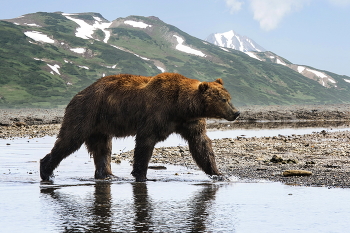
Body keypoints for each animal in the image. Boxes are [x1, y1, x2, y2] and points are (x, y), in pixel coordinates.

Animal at [39, 73, 239, 182]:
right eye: (223, 99)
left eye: (229, 98)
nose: (236, 112)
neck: (181, 107)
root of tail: (77, 95)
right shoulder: (156, 112)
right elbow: (145, 142)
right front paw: (142, 174)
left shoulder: (190, 122)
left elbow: (201, 144)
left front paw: (218, 173)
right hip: (86, 112)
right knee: (69, 140)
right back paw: (46, 170)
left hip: (100, 125)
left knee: (102, 149)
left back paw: (107, 175)